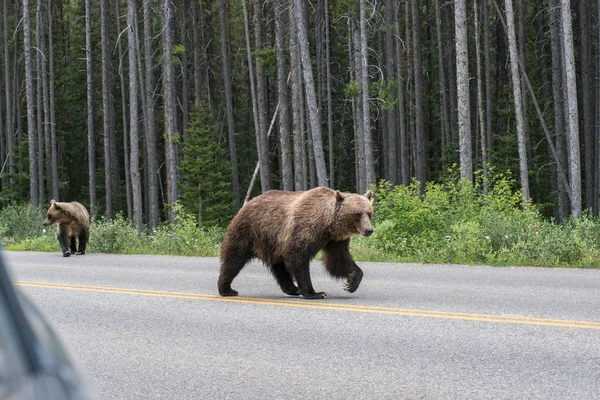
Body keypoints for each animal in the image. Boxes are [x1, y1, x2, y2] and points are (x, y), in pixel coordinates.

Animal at [217, 188, 376, 300]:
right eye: (357, 214)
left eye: (369, 213)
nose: (369, 230)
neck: (328, 225)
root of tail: (248, 202)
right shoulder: (305, 229)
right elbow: (298, 257)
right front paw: (316, 293)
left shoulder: (336, 240)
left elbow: (338, 260)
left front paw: (351, 282)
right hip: (249, 231)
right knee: (234, 258)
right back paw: (227, 289)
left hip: (272, 241)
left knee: (278, 265)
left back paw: (292, 288)